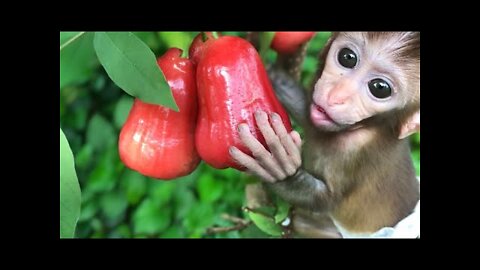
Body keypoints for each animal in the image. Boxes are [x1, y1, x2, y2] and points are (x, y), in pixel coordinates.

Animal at [229, 31, 420, 237]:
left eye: (380, 88)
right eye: (347, 57)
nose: (335, 96)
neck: (365, 127)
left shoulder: (355, 151)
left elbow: (325, 199)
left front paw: (277, 167)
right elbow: (305, 110)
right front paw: (268, 68)